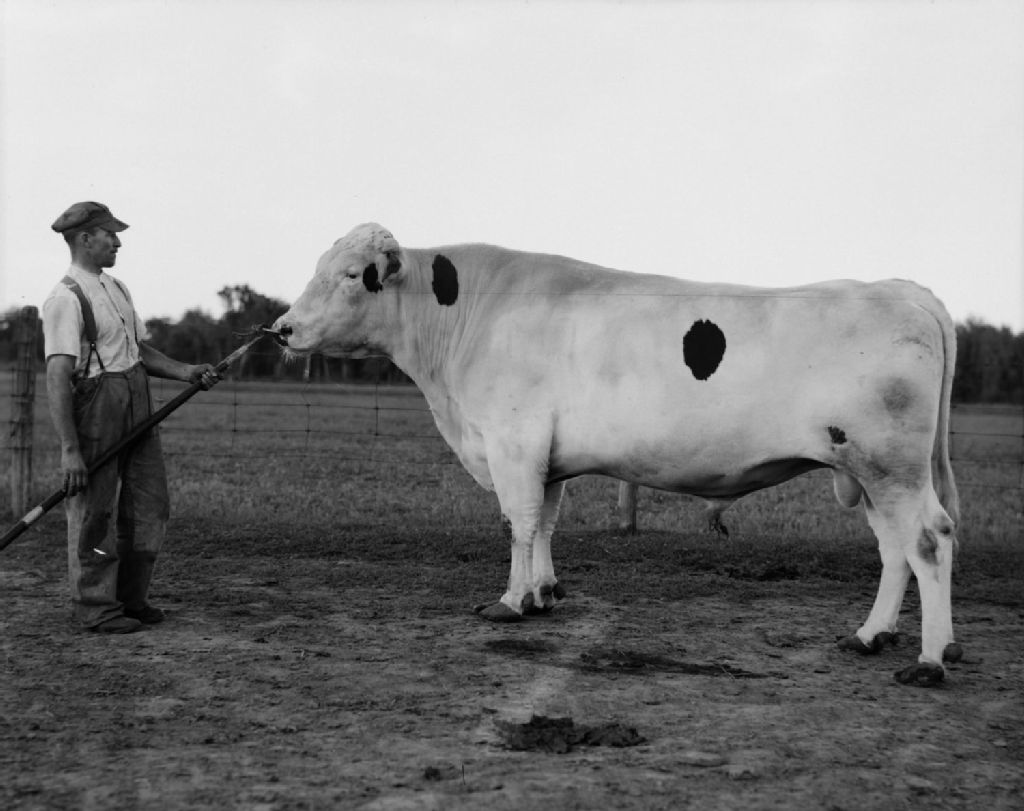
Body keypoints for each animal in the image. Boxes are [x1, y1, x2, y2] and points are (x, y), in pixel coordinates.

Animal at [273, 223, 961, 686]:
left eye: (351, 274)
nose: (282, 328)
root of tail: (903, 290)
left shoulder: (513, 442)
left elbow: (518, 523)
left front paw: (510, 603)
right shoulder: (546, 455)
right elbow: (546, 523)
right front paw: (545, 593)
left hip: (890, 465)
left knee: (929, 539)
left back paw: (929, 660)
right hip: (868, 472)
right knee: (894, 549)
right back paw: (871, 636)